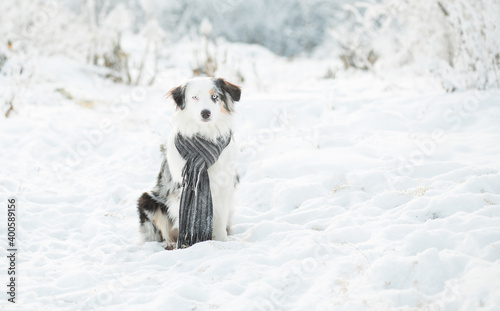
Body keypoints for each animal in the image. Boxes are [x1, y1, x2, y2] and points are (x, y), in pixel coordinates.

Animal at [138, 78, 241, 251]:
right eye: (194, 97)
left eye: (215, 97)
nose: (205, 113)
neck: (205, 134)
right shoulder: (181, 189)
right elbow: (184, 219)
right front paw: (187, 245)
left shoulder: (224, 187)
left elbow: (220, 220)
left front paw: (223, 241)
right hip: (148, 200)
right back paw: (170, 243)